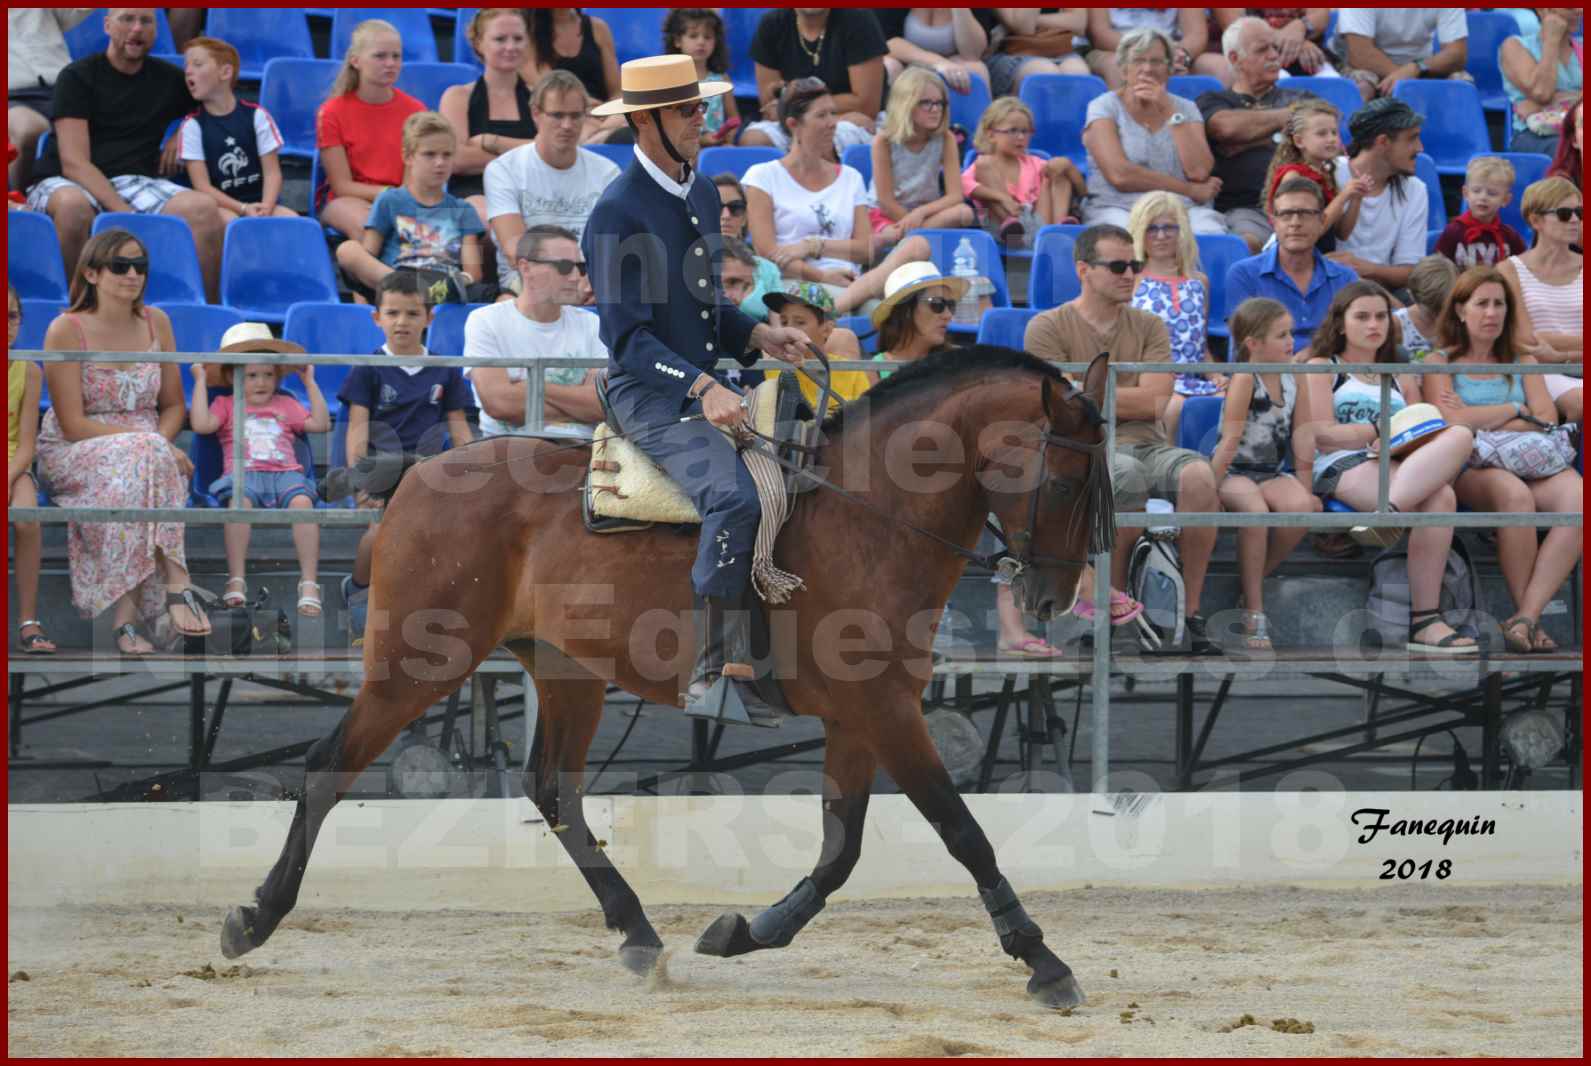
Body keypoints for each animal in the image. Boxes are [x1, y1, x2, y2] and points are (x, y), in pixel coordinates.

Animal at [217, 348, 1113, 1011]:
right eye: (1063, 481)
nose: (1050, 599)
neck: (867, 513)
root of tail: (414, 477)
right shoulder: (885, 708)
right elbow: (958, 830)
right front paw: (1042, 959)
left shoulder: (860, 713)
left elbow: (840, 849)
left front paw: (747, 931)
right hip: (418, 661)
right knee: (329, 766)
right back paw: (254, 918)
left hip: (566, 670)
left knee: (553, 790)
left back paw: (639, 933)